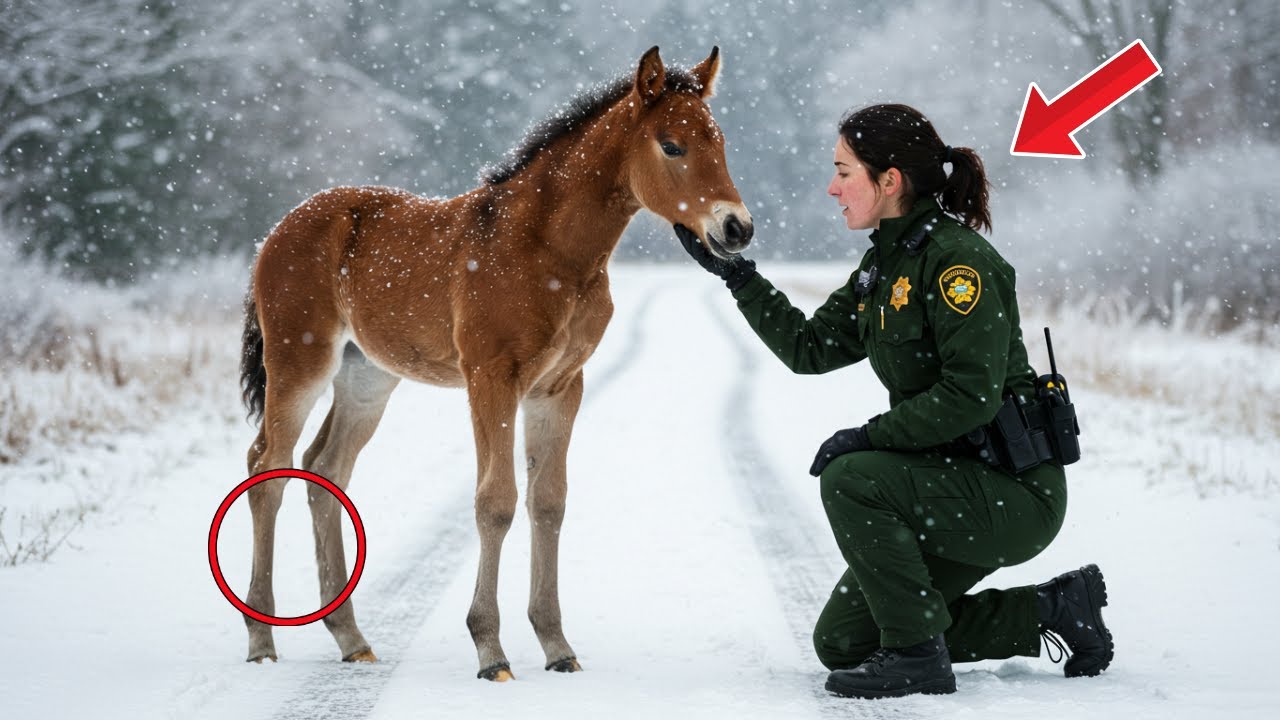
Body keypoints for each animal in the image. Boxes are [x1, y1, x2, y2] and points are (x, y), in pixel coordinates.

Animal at [237, 46, 753, 681]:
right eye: (672, 145)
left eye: (719, 142)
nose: (736, 228)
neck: (550, 252)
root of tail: (275, 233)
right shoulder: (490, 378)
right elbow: (496, 501)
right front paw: (491, 651)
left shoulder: (559, 387)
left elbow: (548, 502)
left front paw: (557, 647)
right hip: (299, 363)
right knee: (268, 469)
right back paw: (261, 639)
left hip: (367, 378)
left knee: (325, 469)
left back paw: (351, 638)